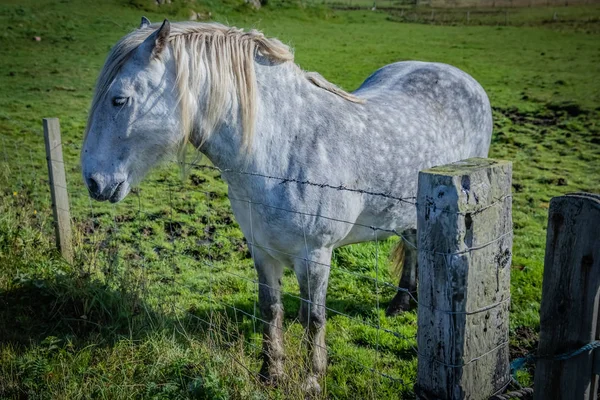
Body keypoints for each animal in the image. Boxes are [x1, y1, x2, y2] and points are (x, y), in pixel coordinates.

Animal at [81, 18, 492, 390]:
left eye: (120, 99)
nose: (93, 181)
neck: (283, 148)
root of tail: (464, 79)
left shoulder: (316, 255)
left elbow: (315, 318)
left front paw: (311, 379)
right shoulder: (262, 251)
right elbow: (271, 310)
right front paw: (271, 374)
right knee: (412, 243)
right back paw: (400, 304)